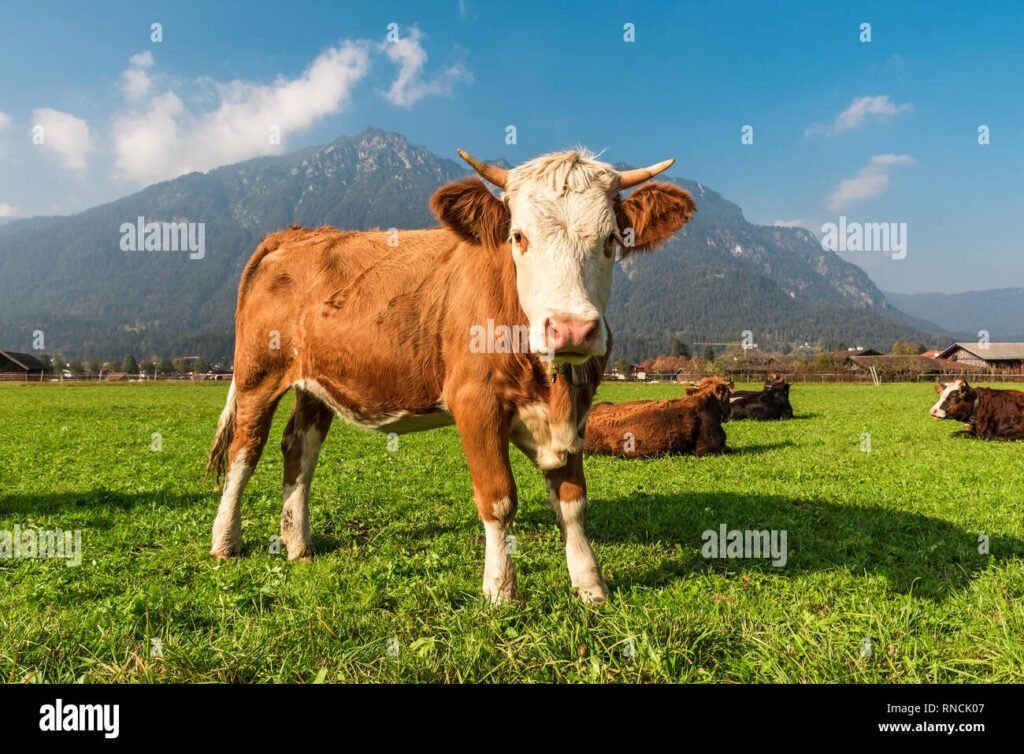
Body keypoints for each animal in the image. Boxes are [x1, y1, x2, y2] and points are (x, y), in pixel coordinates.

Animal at [205, 147, 696, 604]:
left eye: (611, 239)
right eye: (518, 236)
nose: (571, 328)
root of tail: (295, 234)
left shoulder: (574, 414)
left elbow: (573, 502)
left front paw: (591, 586)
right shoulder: (474, 402)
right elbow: (498, 498)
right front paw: (500, 589)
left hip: (315, 385)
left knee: (299, 450)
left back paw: (297, 544)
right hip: (256, 376)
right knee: (245, 451)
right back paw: (225, 540)